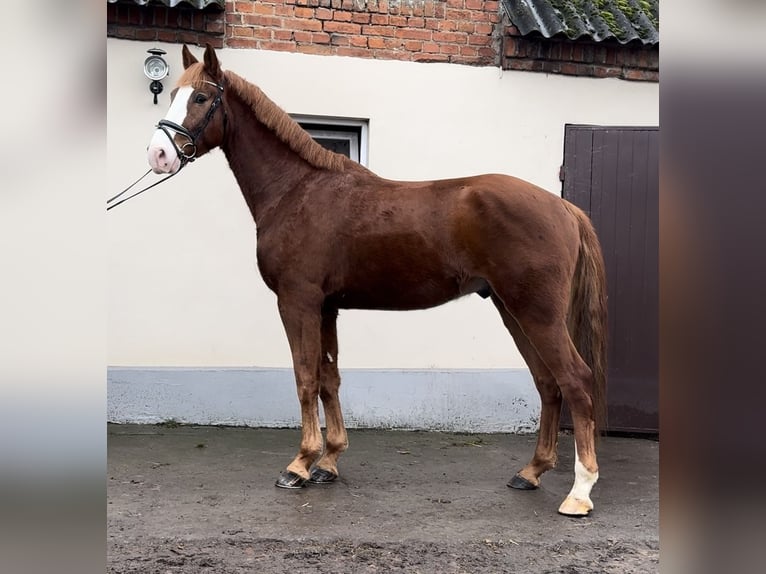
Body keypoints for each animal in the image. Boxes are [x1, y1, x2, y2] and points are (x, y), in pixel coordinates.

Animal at [147, 45, 608, 516]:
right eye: (173, 95)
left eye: (201, 98)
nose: (159, 154)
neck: (297, 191)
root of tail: (563, 207)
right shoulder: (327, 307)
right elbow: (328, 378)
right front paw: (328, 461)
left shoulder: (298, 301)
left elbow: (305, 376)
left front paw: (300, 464)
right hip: (512, 309)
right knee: (547, 382)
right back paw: (531, 472)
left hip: (537, 313)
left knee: (575, 379)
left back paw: (579, 492)